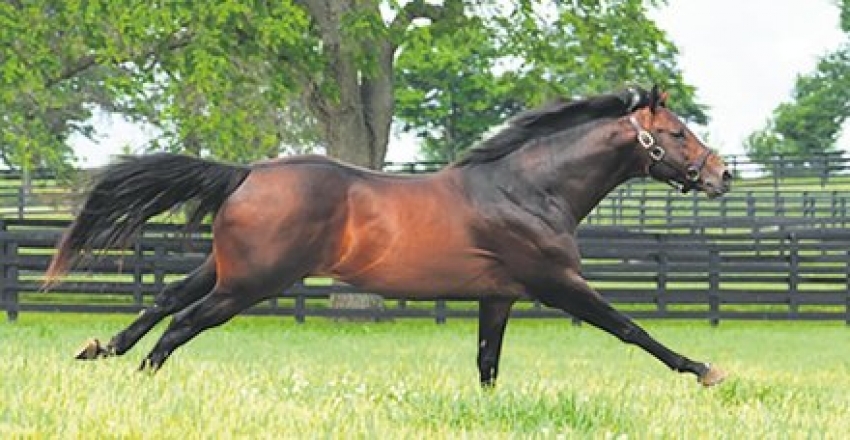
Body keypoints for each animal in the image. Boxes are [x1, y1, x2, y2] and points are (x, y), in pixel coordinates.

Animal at [48, 86, 728, 388]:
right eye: (677, 133)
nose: (721, 173)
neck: (528, 189)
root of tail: (247, 173)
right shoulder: (559, 284)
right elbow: (631, 329)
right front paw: (703, 369)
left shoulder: (499, 296)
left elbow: (487, 362)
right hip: (250, 284)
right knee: (182, 323)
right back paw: (142, 379)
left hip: (227, 270)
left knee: (165, 300)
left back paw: (99, 349)